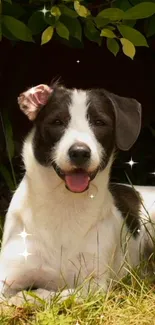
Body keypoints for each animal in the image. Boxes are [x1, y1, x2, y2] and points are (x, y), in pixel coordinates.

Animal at [0, 83, 155, 304]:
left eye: (99, 122)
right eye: (57, 122)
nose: (80, 152)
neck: (64, 205)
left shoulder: (94, 284)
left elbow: (60, 294)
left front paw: (31, 296)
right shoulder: (9, 274)